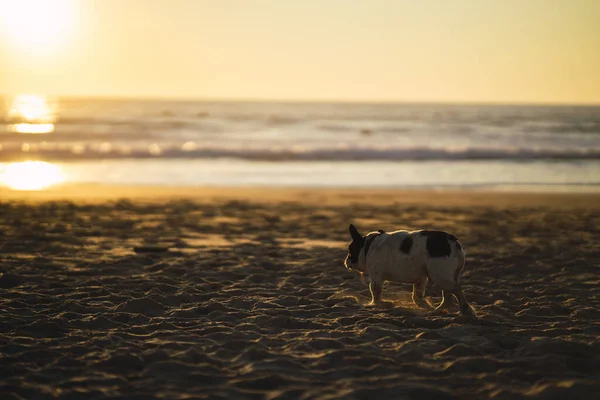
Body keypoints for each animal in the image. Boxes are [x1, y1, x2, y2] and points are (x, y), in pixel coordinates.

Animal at [344, 225, 476, 316]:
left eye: (350, 250)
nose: (346, 261)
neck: (367, 246)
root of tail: (452, 242)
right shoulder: (421, 279)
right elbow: (416, 296)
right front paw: (424, 305)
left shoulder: (376, 277)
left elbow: (375, 291)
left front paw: (377, 304)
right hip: (445, 276)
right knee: (448, 295)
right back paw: (437, 310)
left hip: (439, 276)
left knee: (456, 289)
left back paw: (466, 310)